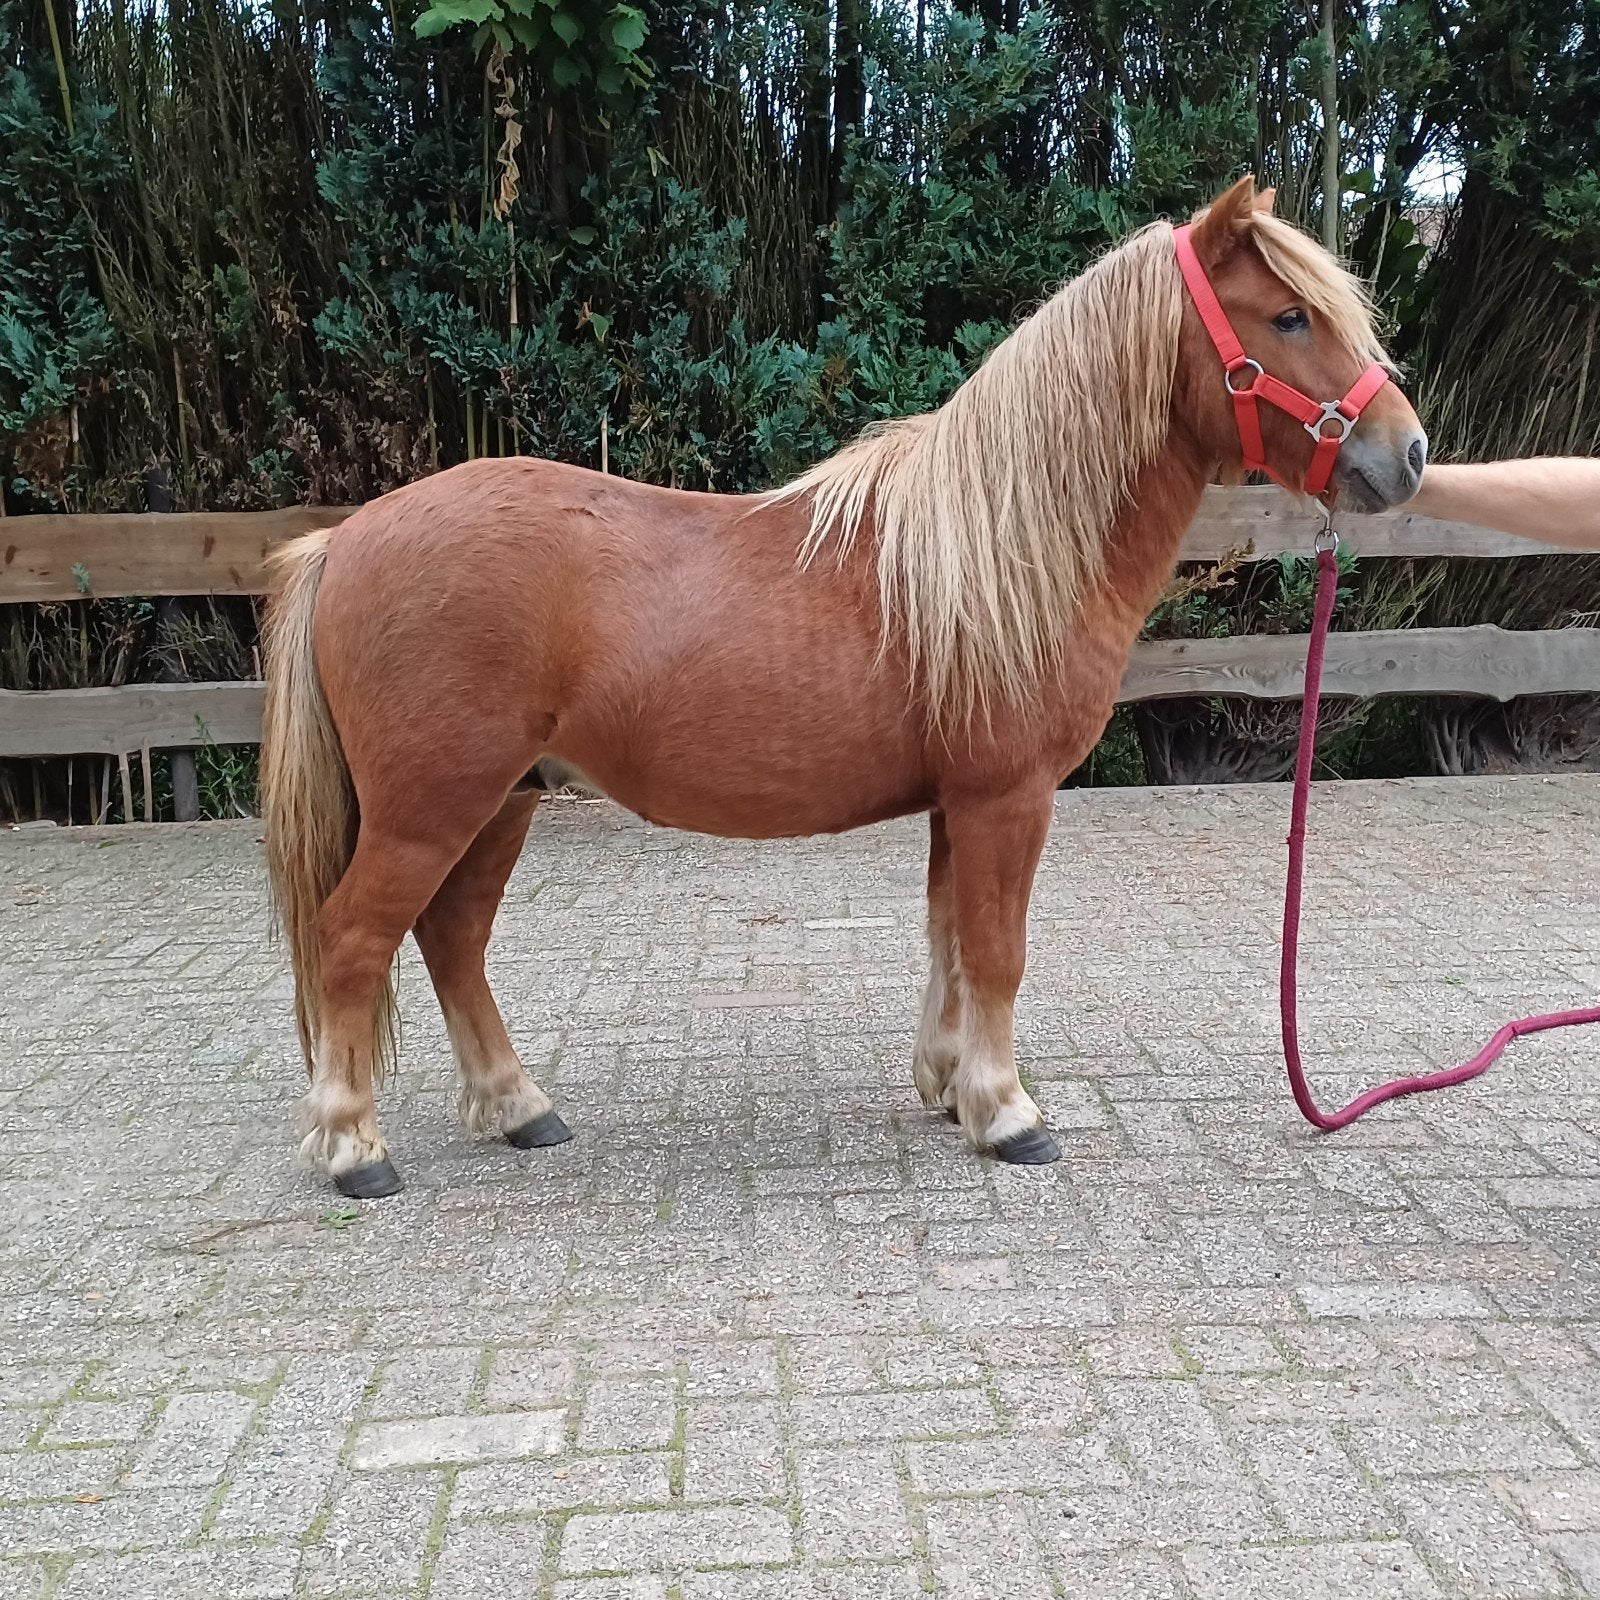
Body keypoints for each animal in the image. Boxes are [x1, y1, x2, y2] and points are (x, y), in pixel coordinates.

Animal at [261, 177, 1428, 1199]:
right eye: (1287, 316)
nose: (1407, 453)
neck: (1003, 548)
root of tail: (344, 540)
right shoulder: (1008, 797)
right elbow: (996, 951)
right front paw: (1009, 1114)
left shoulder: (959, 803)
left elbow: (950, 941)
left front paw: (951, 1087)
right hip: (432, 809)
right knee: (354, 943)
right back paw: (355, 1149)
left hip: (500, 801)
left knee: (452, 941)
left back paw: (518, 1108)